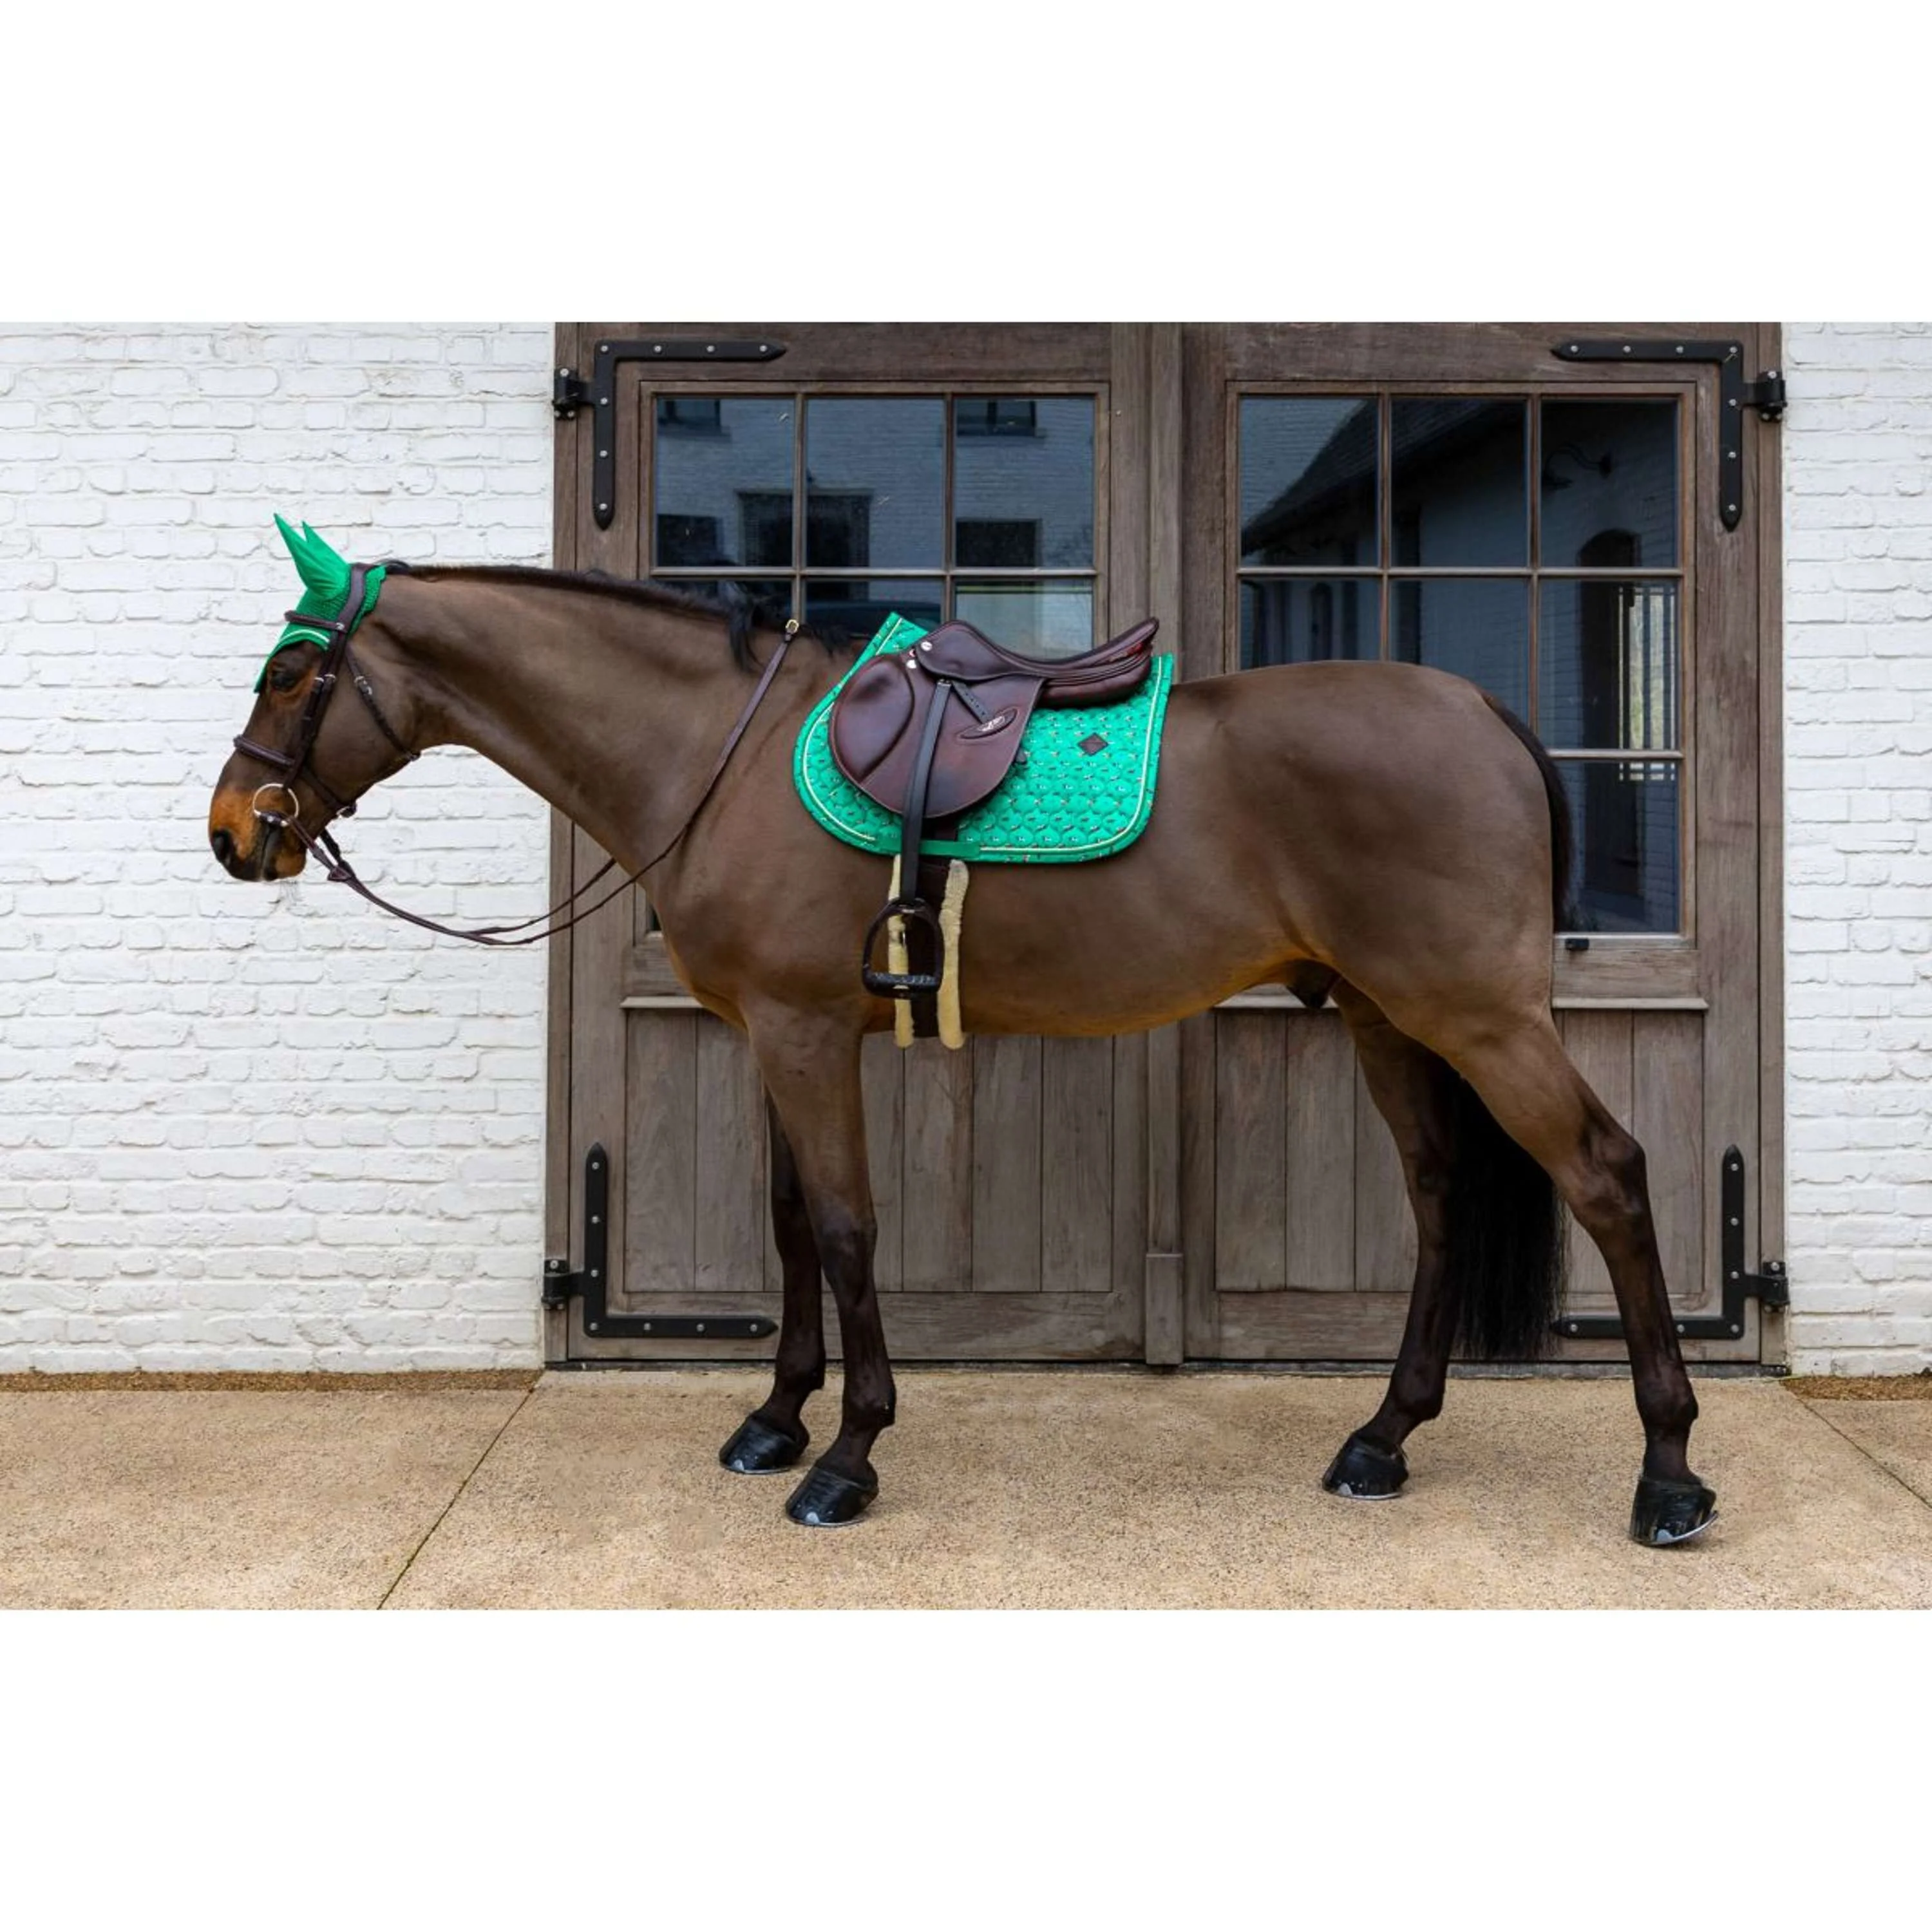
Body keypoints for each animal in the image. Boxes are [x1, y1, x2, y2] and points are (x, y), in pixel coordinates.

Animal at [208, 525, 1718, 1548]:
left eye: (291, 672)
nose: (233, 832)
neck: (715, 753)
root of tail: (1484, 712)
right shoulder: (773, 1034)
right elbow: (787, 1225)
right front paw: (775, 1421)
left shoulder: (806, 1036)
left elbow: (846, 1228)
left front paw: (847, 1458)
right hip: (1385, 1017)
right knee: (1442, 1194)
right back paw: (1385, 1440)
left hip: (1478, 1016)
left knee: (1607, 1175)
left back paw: (1671, 1477)